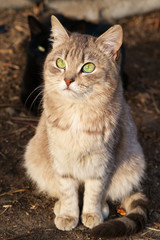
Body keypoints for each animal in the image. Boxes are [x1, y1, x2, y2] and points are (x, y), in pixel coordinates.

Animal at [23, 15, 148, 239]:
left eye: (88, 67)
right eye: (60, 63)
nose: (67, 79)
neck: (77, 112)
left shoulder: (102, 162)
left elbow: (94, 191)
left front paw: (91, 213)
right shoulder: (61, 160)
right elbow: (68, 191)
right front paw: (68, 214)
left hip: (133, 164)